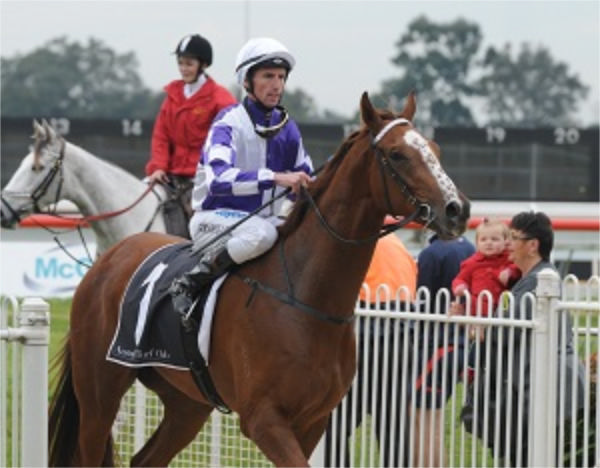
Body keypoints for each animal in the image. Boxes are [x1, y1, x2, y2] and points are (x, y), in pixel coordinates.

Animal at [48, 90, 468, 464]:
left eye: (435, 149)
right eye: (398, 154)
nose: (457, 209)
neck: (307, 299)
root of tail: (107, 261)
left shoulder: (313, 421)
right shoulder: (264, 419)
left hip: (186, 403)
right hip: (99, 391)